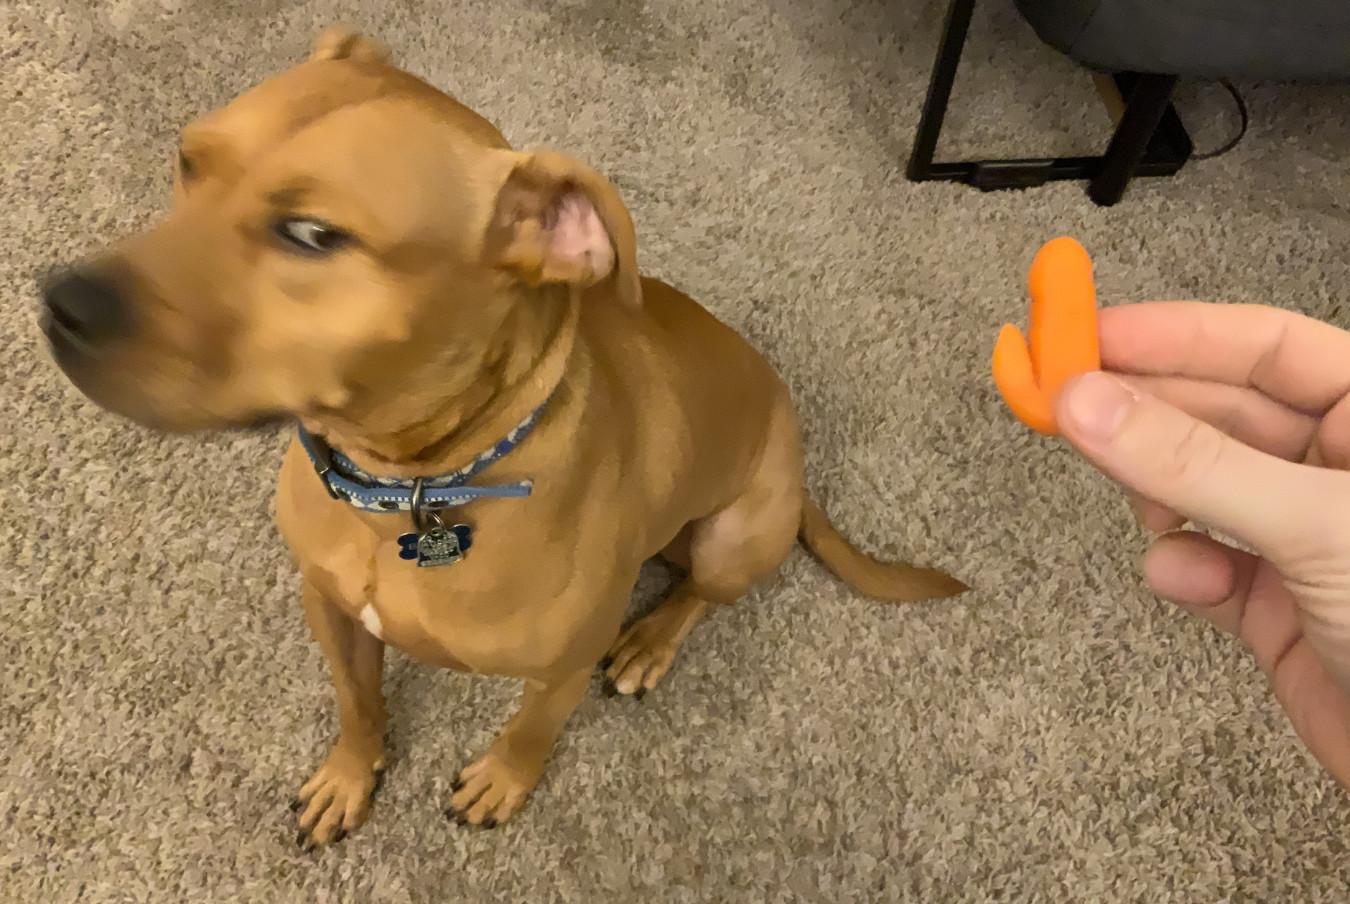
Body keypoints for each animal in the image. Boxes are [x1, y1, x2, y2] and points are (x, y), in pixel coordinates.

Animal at [39, 30, 972, 852]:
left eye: (312, 235)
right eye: (188, 161)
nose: (59, 302)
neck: (407, 485)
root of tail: (795, 451)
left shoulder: (560, 670)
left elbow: (530, 730)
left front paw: (501, 781)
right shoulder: (328, 607)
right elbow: (357, 703)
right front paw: (349, 777)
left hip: (735, 536)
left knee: (702, 596)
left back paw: (650, 642)